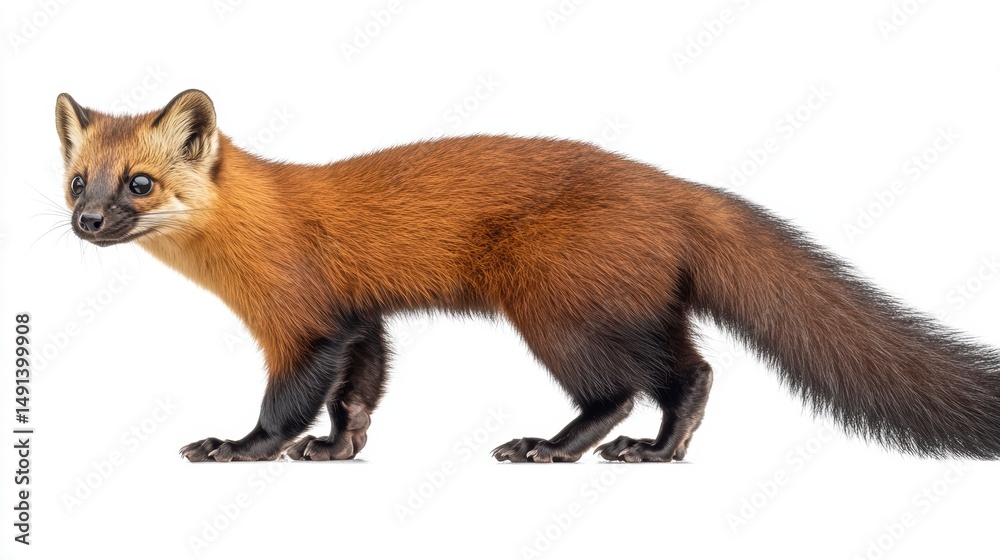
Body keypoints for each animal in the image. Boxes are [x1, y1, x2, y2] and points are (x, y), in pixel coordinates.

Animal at [54, 89, 1000, 463]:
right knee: (688, 366)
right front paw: (335, 450)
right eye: (75, 179)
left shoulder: (303, 317)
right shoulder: (363, 314)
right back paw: (653, 448)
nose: (87, 223)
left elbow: (290, 397)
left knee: (638, 384)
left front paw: (234, 447)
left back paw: (567, 447)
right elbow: (361, 386)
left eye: (140, 182)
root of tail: (677, 190)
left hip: (559, 308)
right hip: (636, 302)